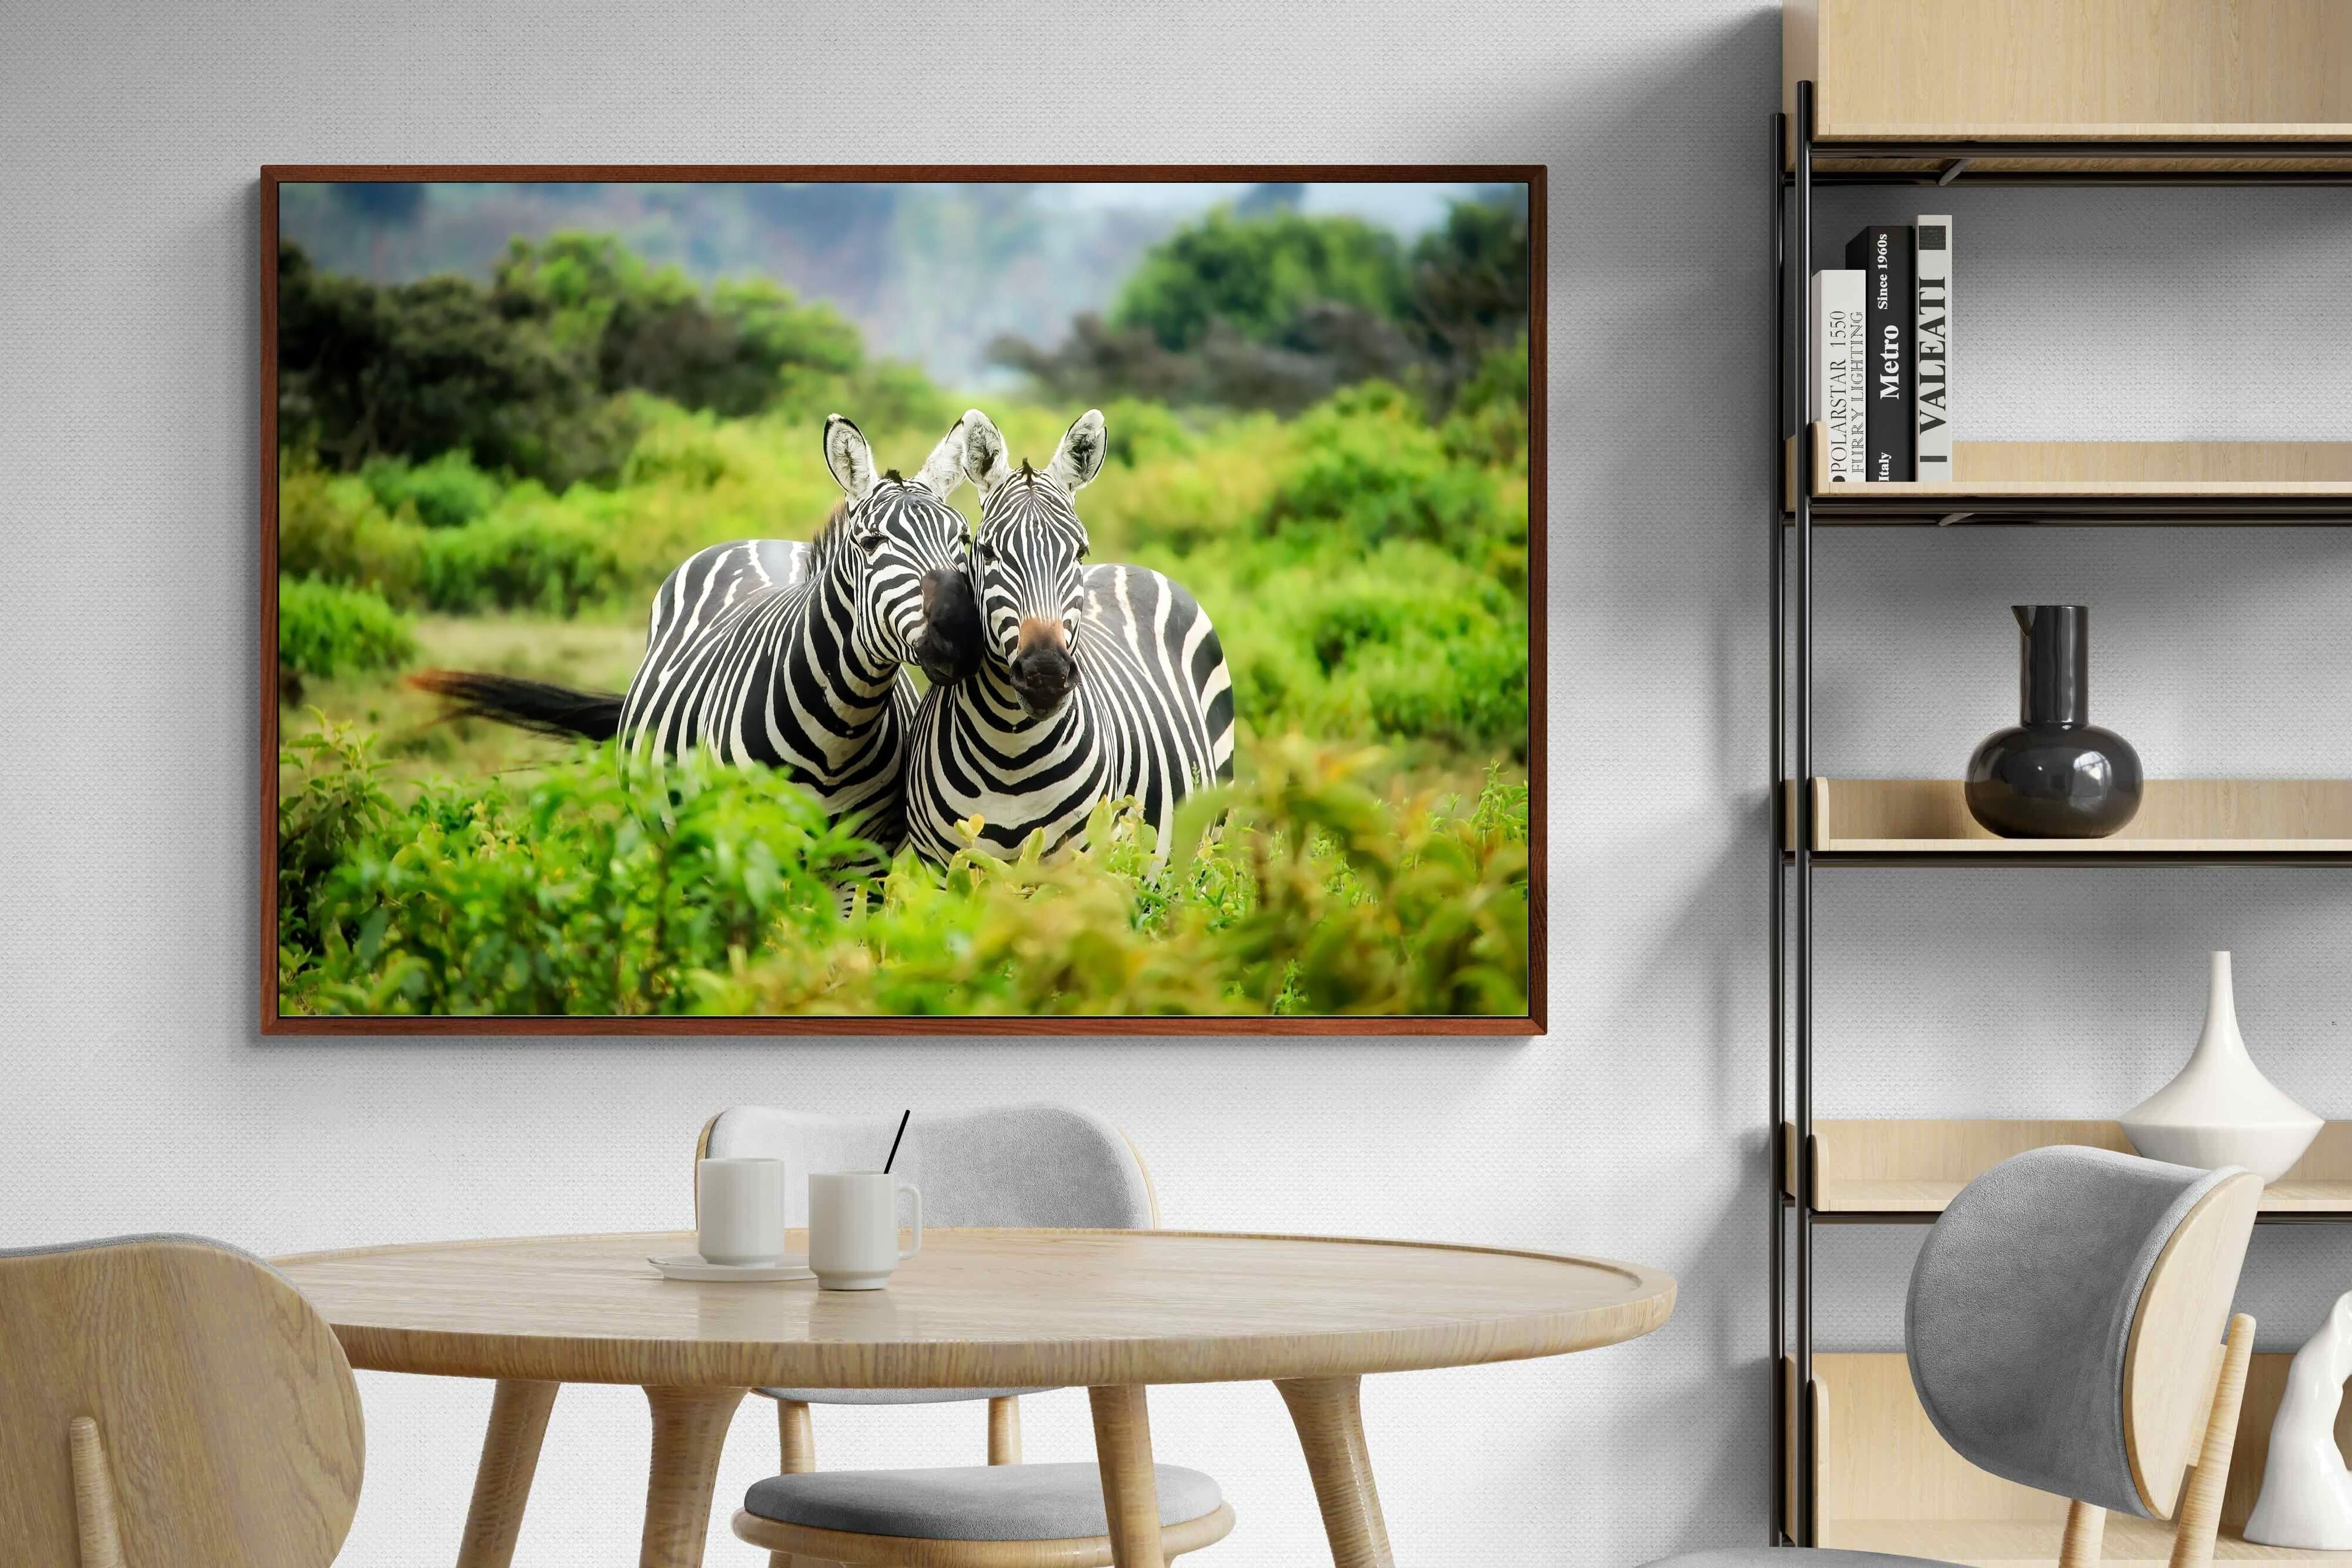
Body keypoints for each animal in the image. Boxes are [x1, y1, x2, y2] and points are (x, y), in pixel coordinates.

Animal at [412, 414, 983, 857]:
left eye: (962, 538)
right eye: (870, 543)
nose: (960, 633)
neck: (838, 730)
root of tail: (759, 541)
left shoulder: (862, 861)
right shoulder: (746, 845)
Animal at [903, 407, 1236, 867]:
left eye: (1079, 552)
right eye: (987, 552)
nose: (1045, 674)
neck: (1010, 753)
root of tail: (1130, 567)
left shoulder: (1080, 865)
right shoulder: (946, 867)